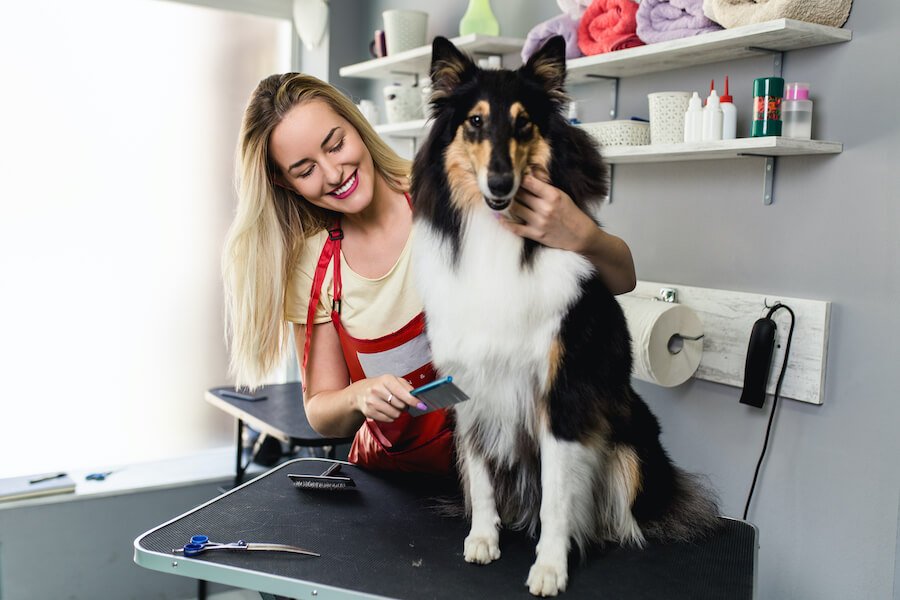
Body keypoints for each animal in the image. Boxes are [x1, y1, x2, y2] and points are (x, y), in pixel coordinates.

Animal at [412, 36, 720, 596]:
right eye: (474, 121)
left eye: (524, 124)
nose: (500, 183)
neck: (497, 235)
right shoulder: (469, 387)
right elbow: (482, 477)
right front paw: (483, 538)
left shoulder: (564, 393)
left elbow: (558, 494)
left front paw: (551, 567)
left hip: (631, 447)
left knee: (618, 511)